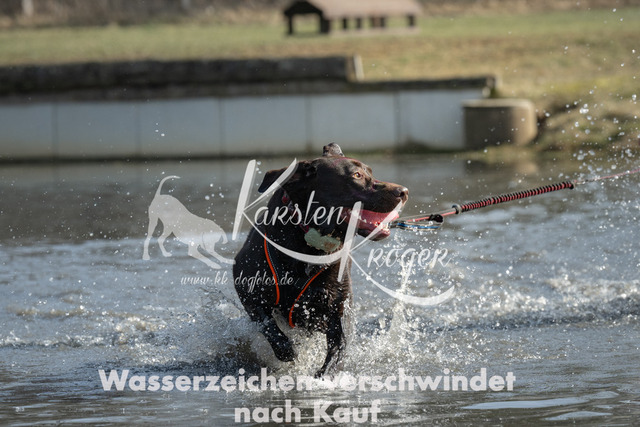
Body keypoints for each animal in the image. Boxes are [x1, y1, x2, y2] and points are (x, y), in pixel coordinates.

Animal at [233, 144, 408, 377]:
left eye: (370, 172)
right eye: (357, 175)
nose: (404, 192)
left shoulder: (339, 308)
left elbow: (340, 345)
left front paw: (324, 375)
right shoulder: (246, 287)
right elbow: (266, 323)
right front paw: (287, 351)